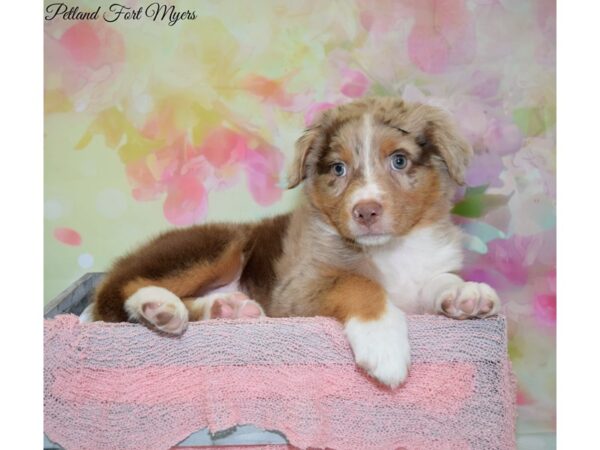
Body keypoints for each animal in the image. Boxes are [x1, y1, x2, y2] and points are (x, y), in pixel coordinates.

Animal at [91, 97, 500, 386]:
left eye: (399, 160)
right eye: (338, 169)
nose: (365, 211)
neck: (391, 248)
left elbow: (437, 281)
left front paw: (466, 293)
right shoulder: (297, 288)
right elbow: (358, 282)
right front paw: (383, 343)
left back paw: (225, 309)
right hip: (219, 245)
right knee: (117, 291)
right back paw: (158, 306)